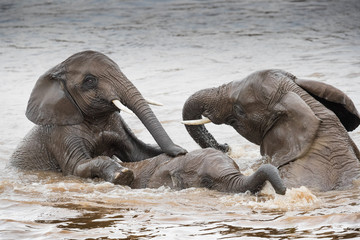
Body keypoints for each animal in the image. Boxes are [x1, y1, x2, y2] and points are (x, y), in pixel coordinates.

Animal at [9, 49, 187, 183]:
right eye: (89, 81)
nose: (180, 152)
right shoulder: (60, 134)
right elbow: (77, 167)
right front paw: (123, 175)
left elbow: (139, 153)